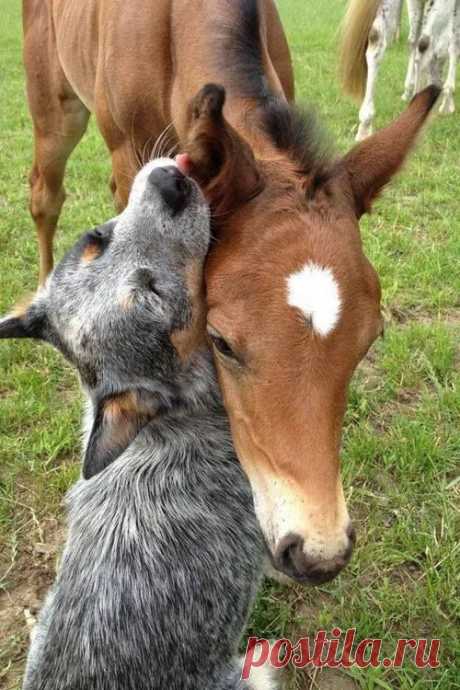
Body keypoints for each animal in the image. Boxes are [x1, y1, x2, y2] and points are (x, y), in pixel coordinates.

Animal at [22, 0, 438, 580]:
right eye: (221, 341)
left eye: (371, 338)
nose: (317, 554)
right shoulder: (129, 159)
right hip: (55, 109)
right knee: (45, 194)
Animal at [340, 0, 458, 140]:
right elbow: (453, 44)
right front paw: (447, 102)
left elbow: (416, 41)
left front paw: (410, 90)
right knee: (425, 46)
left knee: (378, 39)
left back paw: (365, 128)